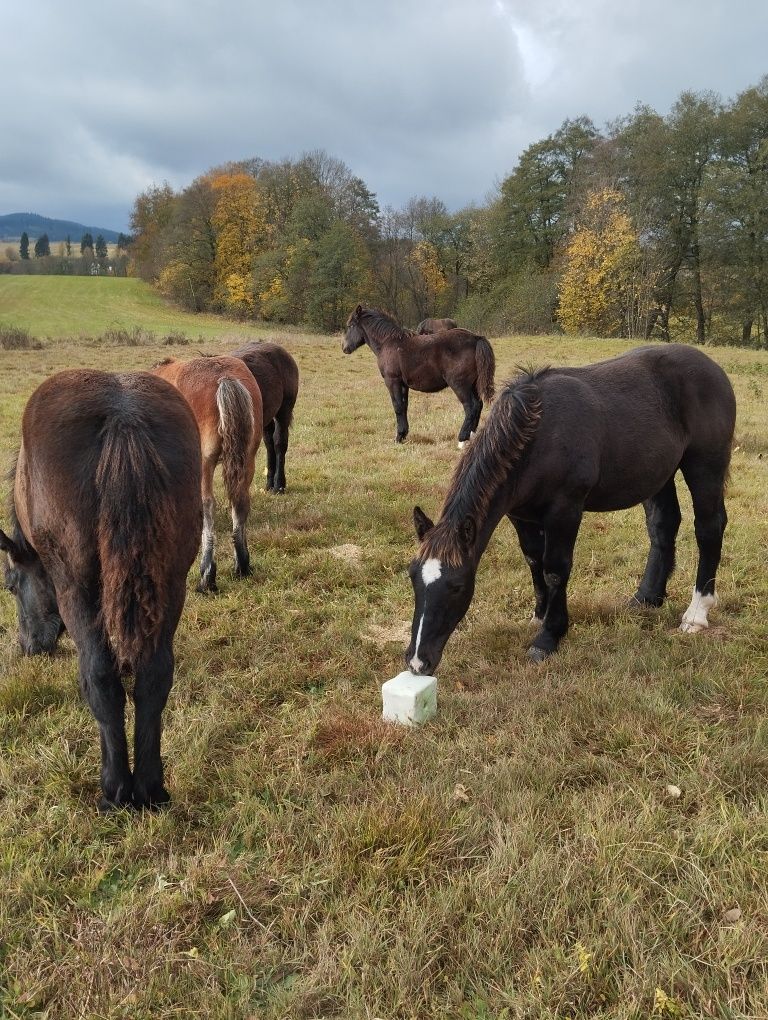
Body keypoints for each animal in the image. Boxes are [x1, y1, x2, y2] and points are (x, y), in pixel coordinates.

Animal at [0, 371, 201, 807]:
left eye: (10, 586)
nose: (28, 647)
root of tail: (123, 419)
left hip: (79, 593)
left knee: (101, 679)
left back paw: (115, 790)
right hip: (172, 584)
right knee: (154, 676)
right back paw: (150, 789)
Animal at [152, 357, 263, 591]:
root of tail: (225, 378)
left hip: (204, 463)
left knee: (207, 505)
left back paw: (207, 573)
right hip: (248, 457)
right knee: (240, 501)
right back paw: (242, 564)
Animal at [342, 301, 497, 446]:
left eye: (350, 325)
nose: (344, 348)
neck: (388, 343)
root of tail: (476, 338)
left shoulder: (392, 381)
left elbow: (397, 407)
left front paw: (398, 437)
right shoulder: (403, 384)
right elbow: (404, 406)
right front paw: (403, 435)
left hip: (460, 384)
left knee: (470, 407)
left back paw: (462, 439)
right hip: (473, 384)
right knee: (478, 405)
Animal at [403, 344, 734, 669]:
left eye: (457, 586)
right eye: (413, 577)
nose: (418, 661)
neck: (538, 434)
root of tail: (713, 368)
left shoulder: (564, 511)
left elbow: (555, 569)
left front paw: (550, 635)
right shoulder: (520, 515)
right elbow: (534, 561)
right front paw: (540, 615)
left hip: (705, 467)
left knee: (708, 529)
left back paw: (697, 612)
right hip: (658, 474)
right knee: (663, 526)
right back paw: (647, 598)